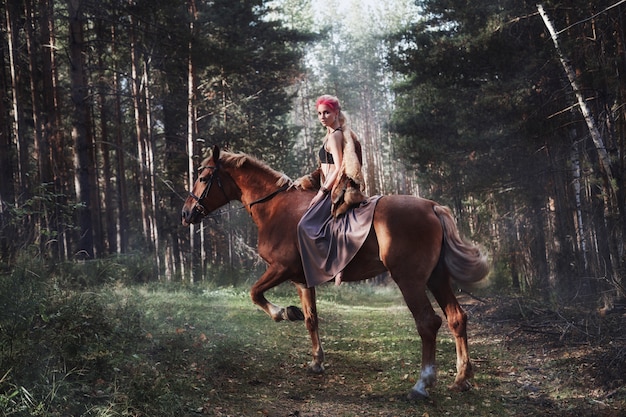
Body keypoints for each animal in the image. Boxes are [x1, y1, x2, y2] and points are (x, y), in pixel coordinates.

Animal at [180, 145, 488, 398]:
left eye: (204, 178)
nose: (186, 213)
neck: (275, 208)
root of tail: (433, 207)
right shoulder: (301, 280)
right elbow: (311, 319)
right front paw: (316, 360)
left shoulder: (281, 269)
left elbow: (255, 293)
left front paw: (284, 313)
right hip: (437, 278)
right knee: (456, 318)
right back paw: (461, 379)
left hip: (409, 280)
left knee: (428, 322)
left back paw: (422, 384)